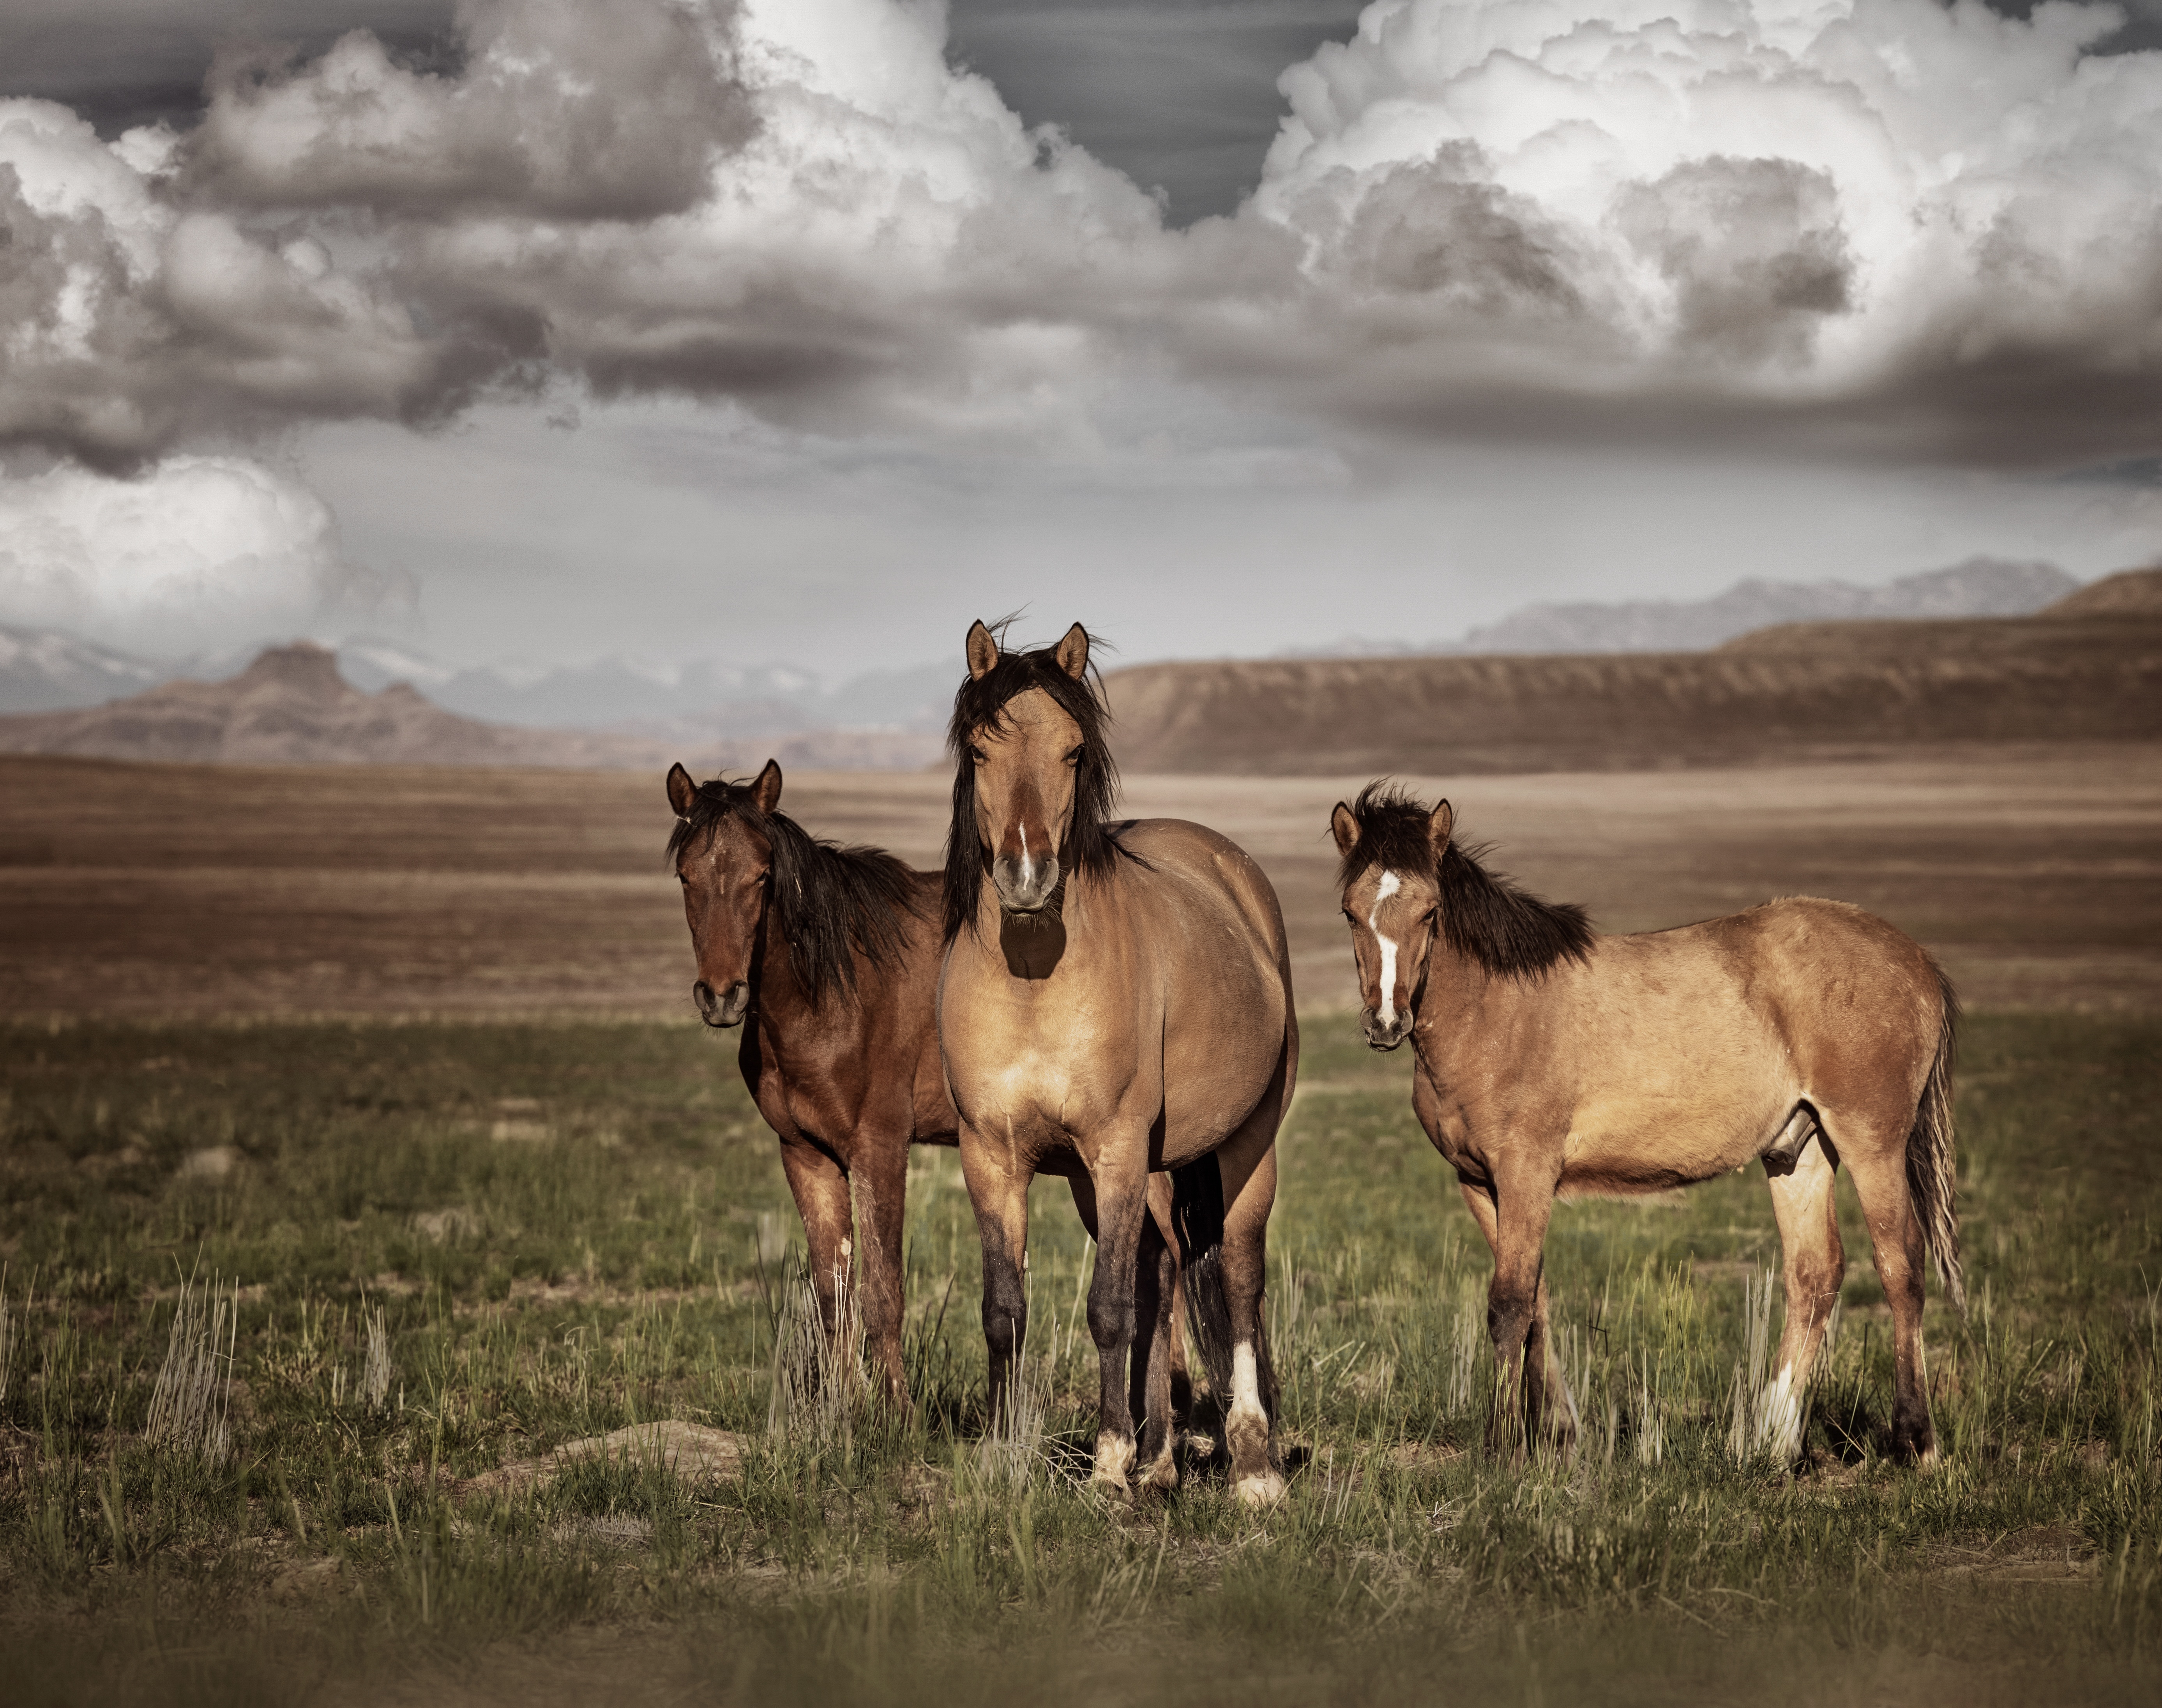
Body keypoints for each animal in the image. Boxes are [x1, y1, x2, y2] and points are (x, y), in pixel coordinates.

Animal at [666, 758, 954, 1408]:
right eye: (685, 875)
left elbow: (882, 1291)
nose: (722, 996)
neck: (831, 992)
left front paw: (898, 1414)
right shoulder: (807, 1153)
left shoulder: (880, 1148)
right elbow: (833, 1291)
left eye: (762, 874)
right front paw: (844, 1408)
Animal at [937, 620, 1299, 1502]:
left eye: (1072, 750)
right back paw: (1162, 1457)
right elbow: (1005, 1307)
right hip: (1134, 1173)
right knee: (1161, 1273)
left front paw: (1106, 1463)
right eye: (980, 748)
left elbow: (1108, 1307)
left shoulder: (1114, 1147)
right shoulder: (991, 1155)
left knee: (1237, 1278)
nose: (1025, 874)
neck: (1033, 977)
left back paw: (1252, 1464)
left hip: (1243, 1146)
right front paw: (1003, 1450)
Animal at [1329, 783, 1962, 1465]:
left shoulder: (1526, 1174)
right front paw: (1559, 1433)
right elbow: (1535, 1301)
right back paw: (1769, 1443)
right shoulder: (1480, 1182)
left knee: (1901, 1266)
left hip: (1872, 1142)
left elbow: (1509, 1305)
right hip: (1800, 1148)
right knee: (1814, 1275)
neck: (1495, 1012)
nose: (1386, 1022)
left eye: (1429, 911)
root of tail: (1915, 958)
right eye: (1350, 913)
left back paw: (1914, 1440)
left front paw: (1504, 1447)